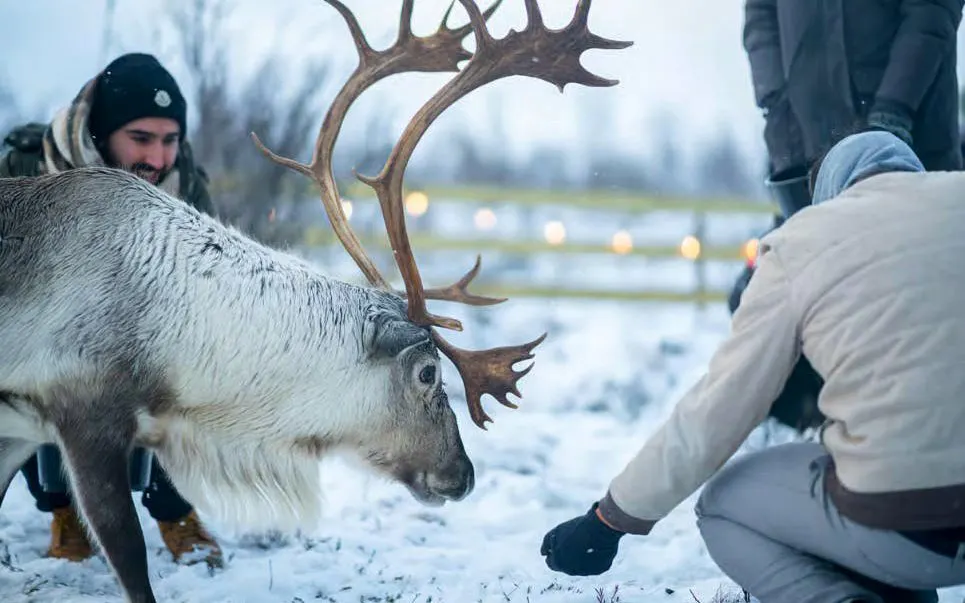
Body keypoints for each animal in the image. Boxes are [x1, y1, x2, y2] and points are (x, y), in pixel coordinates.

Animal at [0, 1, 630, 601]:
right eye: (428, 373)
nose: (465, 474)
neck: (182, 336)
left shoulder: (19, 428)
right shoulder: (85, 415)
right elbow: (130, 560)